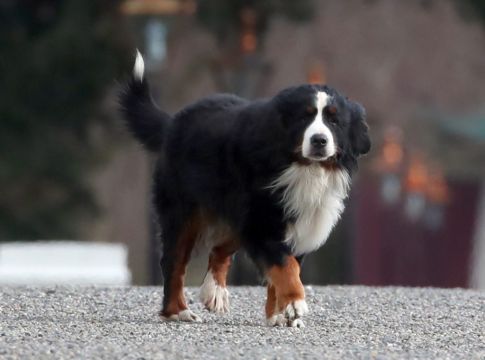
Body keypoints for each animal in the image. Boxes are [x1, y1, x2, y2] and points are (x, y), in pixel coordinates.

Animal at [120, 50, 370, 330]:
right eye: (304, 118)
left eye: (334, 121)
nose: (319, 140)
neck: (302, 167)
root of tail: (173, 122)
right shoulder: (264, 222)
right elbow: (285, 266)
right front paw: (294, 302)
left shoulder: (296, 223)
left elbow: (284, 267)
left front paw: (279, 314)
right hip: (185, 211)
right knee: (174, 260)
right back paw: (177, 311)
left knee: (219, 250)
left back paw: (214, 292)